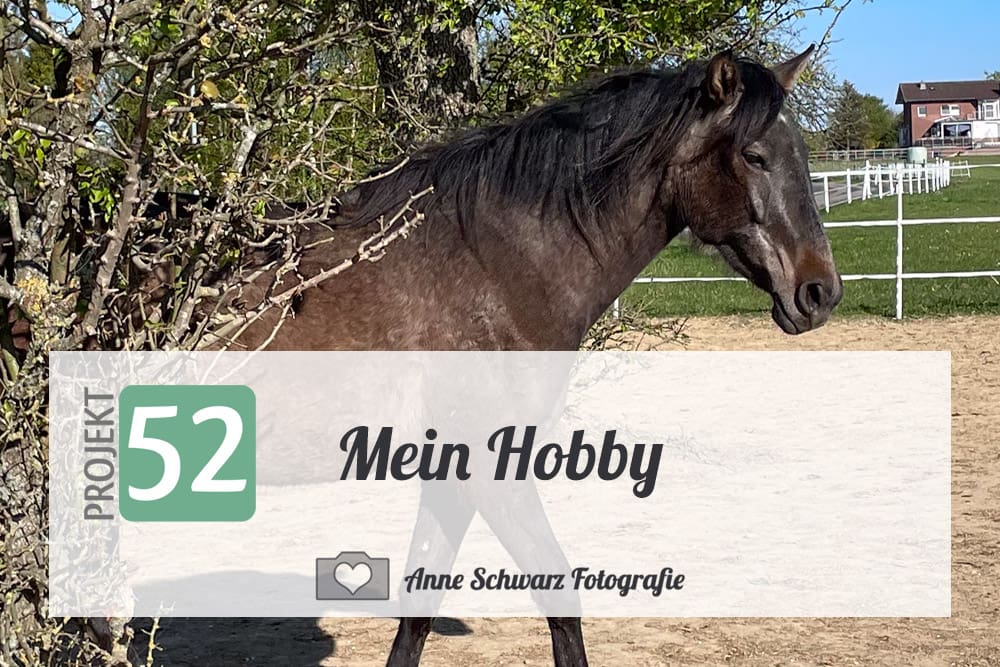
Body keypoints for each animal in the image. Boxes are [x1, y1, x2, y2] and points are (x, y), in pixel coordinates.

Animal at [217, 46, 842, 667]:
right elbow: (559, 598)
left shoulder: (449, 478)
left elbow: (418, 610)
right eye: (755, 156)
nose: (820, 292)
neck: (488, 268)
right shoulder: (493, 470)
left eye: (801, 154)